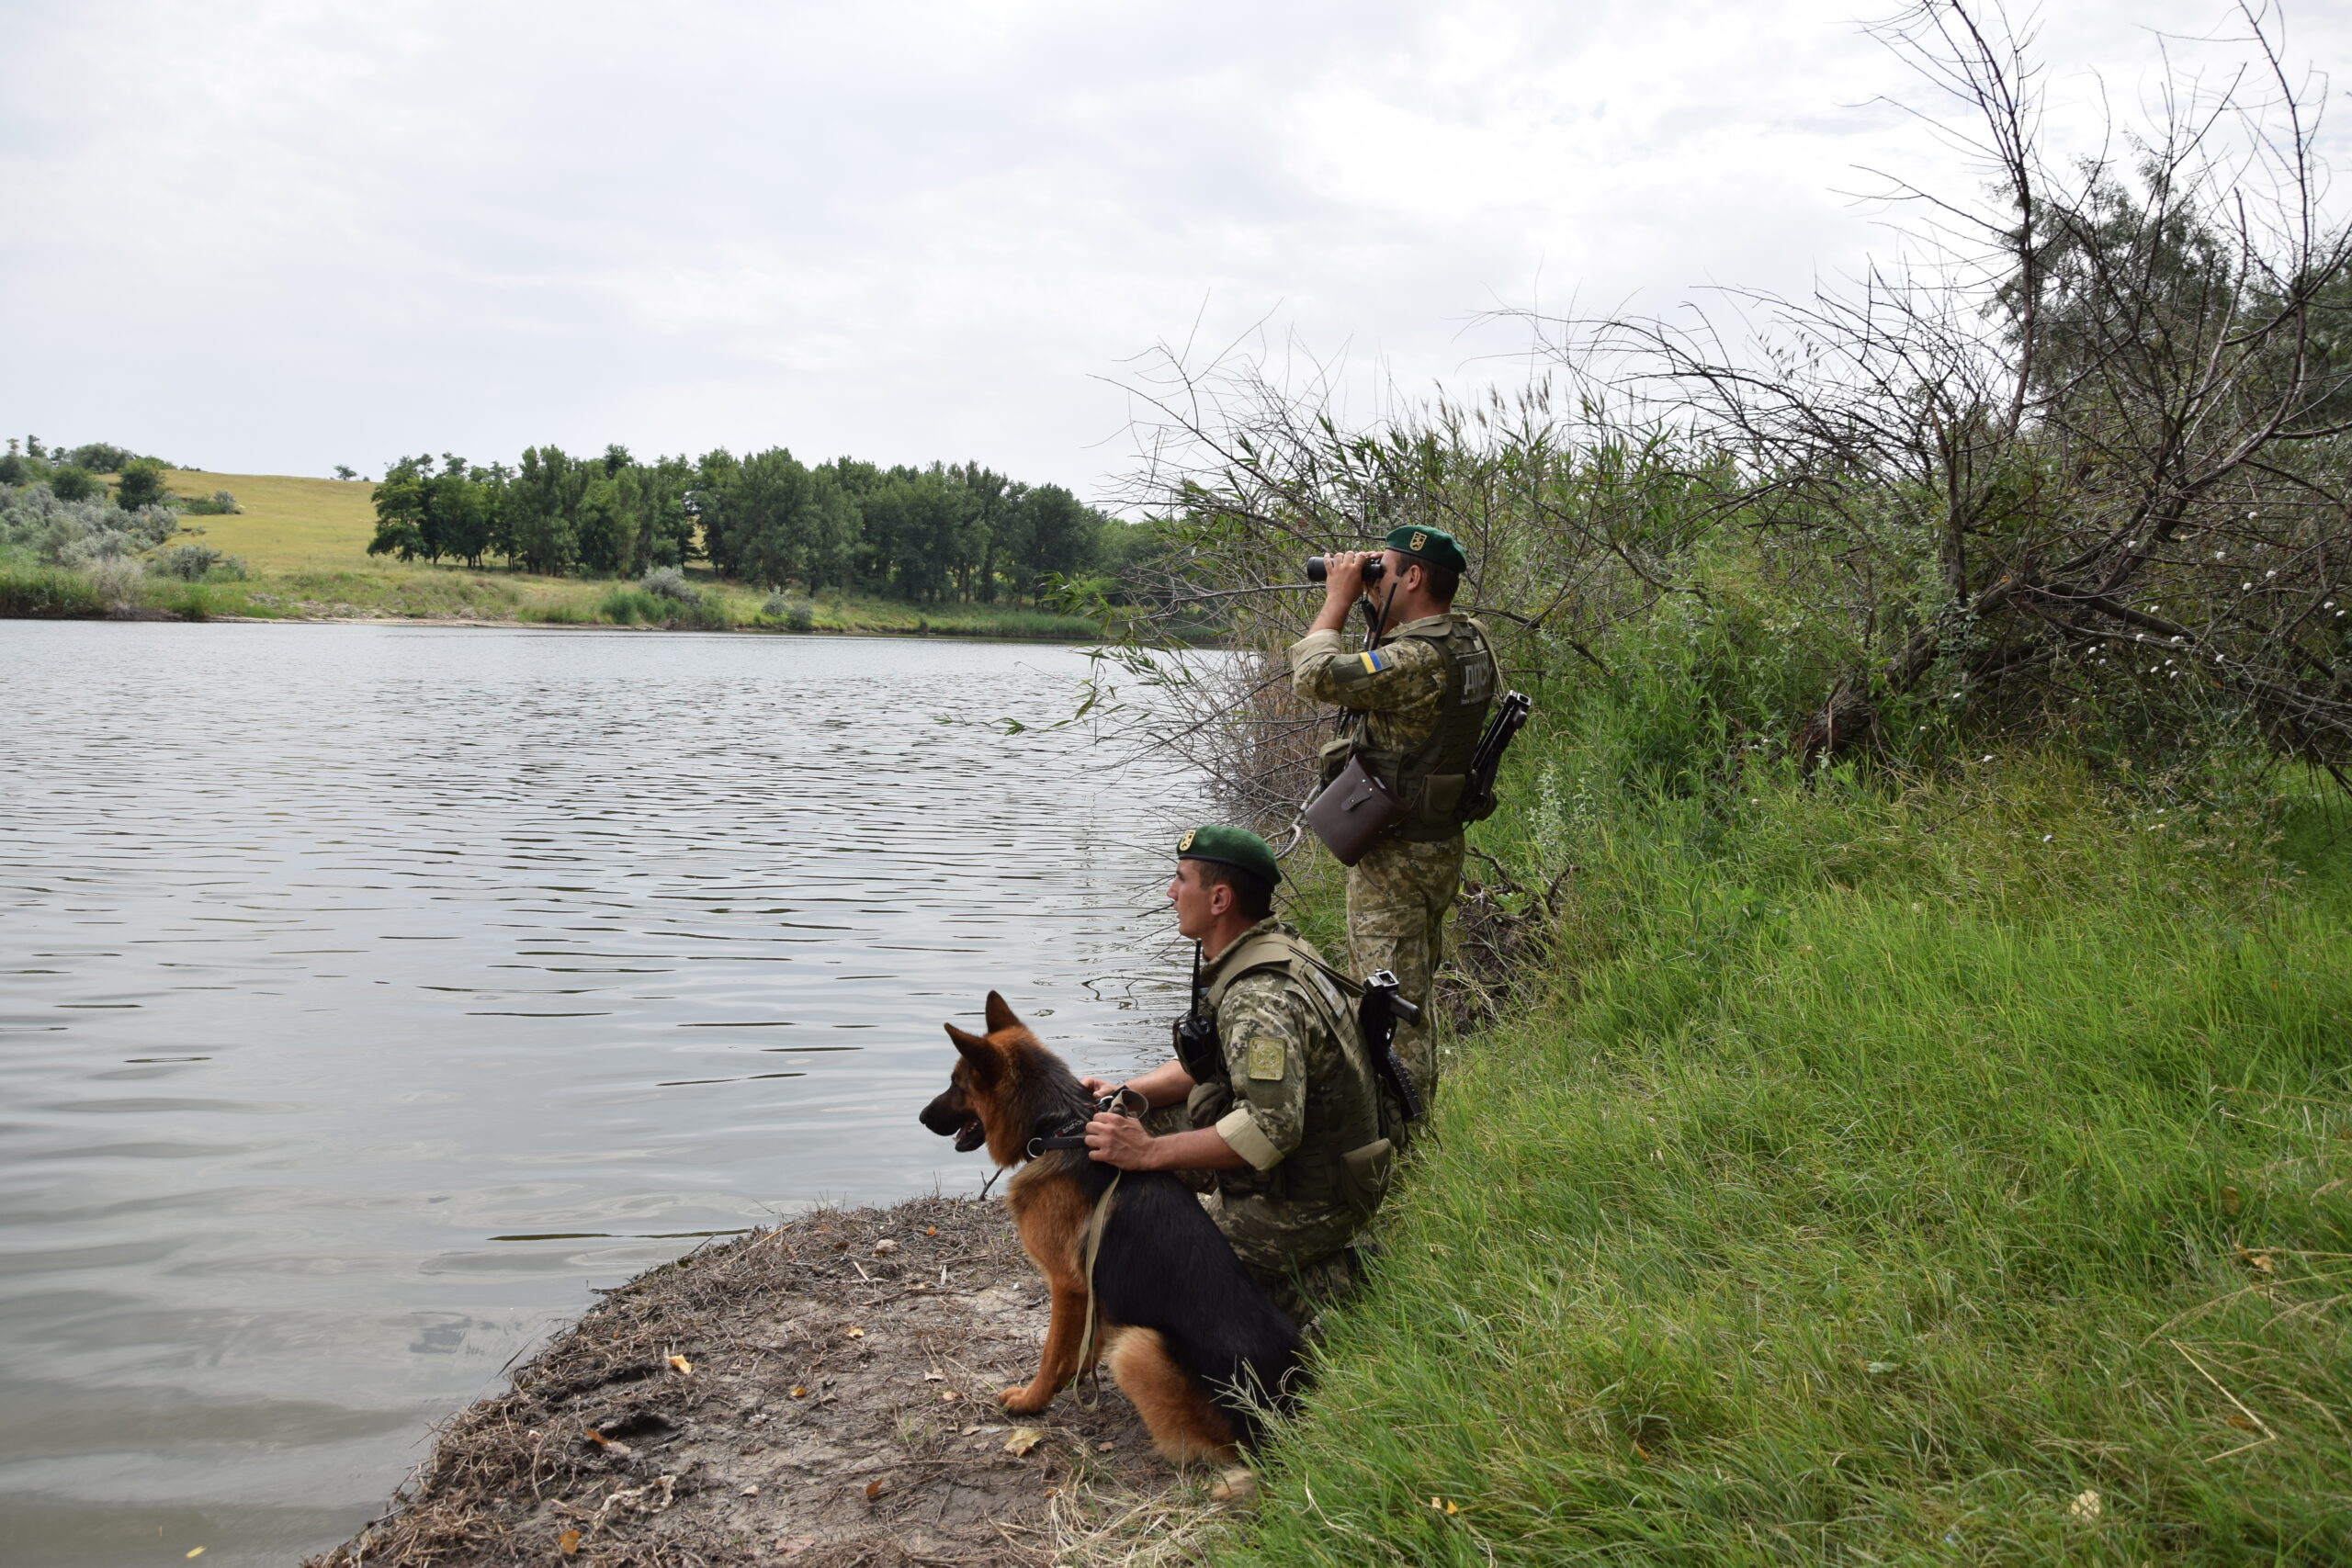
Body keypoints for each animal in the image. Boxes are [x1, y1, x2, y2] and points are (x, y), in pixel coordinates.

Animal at [912, 987, 1298, 1466]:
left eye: (956, 1085)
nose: (921, 1118)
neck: (1061, 1130)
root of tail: (1280, 1416)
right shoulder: (1090, 1293)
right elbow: (1083, 1344)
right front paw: (1074, 1378)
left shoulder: (1066, 1285)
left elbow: (1050, 1350)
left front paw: (1032, 1400)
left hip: (1137, 1347)